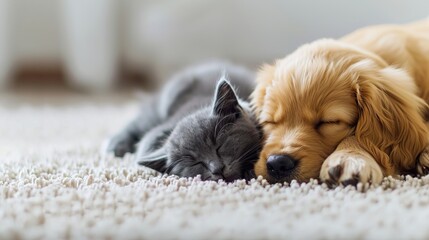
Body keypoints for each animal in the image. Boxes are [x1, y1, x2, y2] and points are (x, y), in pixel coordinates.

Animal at [107, 62, 260, 181]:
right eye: (195, 162)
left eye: (219, 146)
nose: (217, 169)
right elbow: (146, 144)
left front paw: (250, 171)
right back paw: (115, 145)